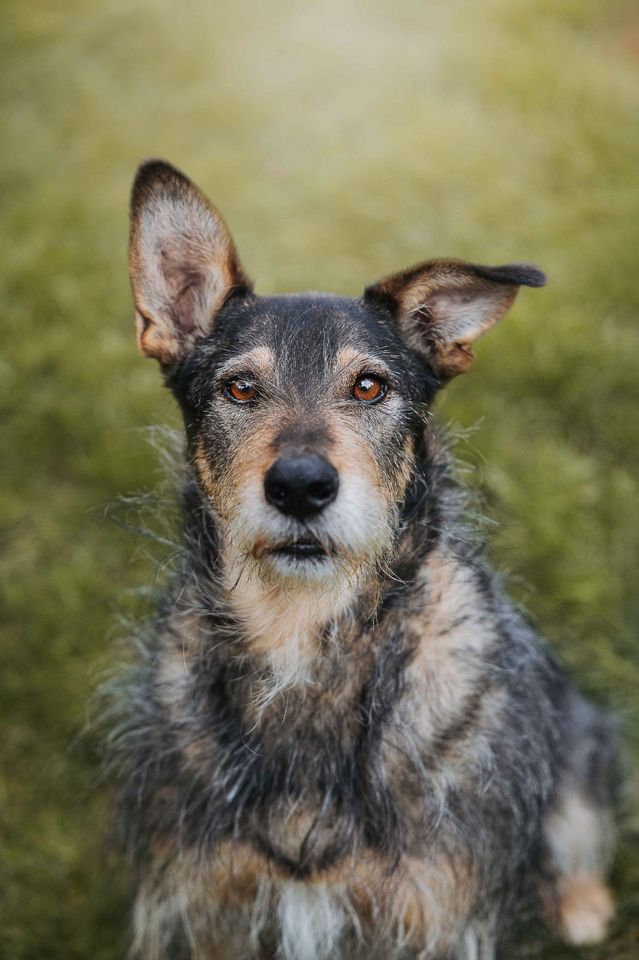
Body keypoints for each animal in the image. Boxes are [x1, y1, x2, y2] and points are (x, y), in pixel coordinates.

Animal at [114, 161, 620, 956]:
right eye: (239, 388)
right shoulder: (206, 898)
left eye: (368, 385)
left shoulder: (437, 908)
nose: (300, 485)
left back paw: (580, 904)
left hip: (579, 738)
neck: (302, 642)